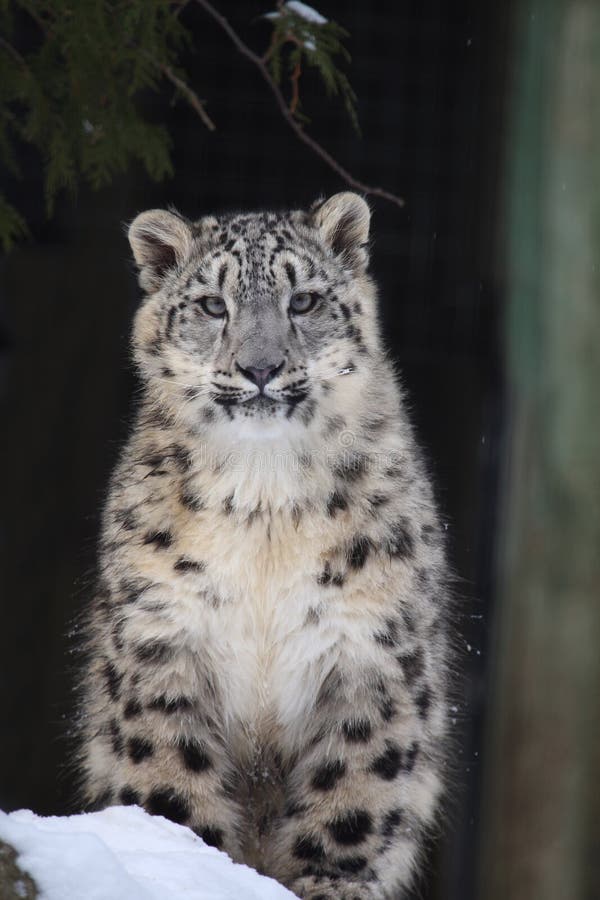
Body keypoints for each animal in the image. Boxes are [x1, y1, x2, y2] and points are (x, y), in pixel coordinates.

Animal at [75, 192, 451, 899]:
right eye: (211, 305)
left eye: (302, 300)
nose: (260, 368)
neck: (265, 498)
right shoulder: (163, 634)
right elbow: (171, 771)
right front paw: (189, 863)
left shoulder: (370, 645)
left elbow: (353, 785)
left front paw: (331, 880)